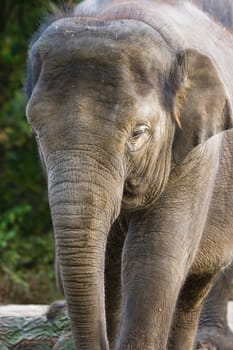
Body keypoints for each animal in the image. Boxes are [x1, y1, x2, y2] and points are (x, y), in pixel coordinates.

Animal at [26, 0, 233, 350]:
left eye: (138, 132)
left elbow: (152, 259)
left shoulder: (199, 155)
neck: (113, 15)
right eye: (37, 133)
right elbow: (107, 264)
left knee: (195, 287)